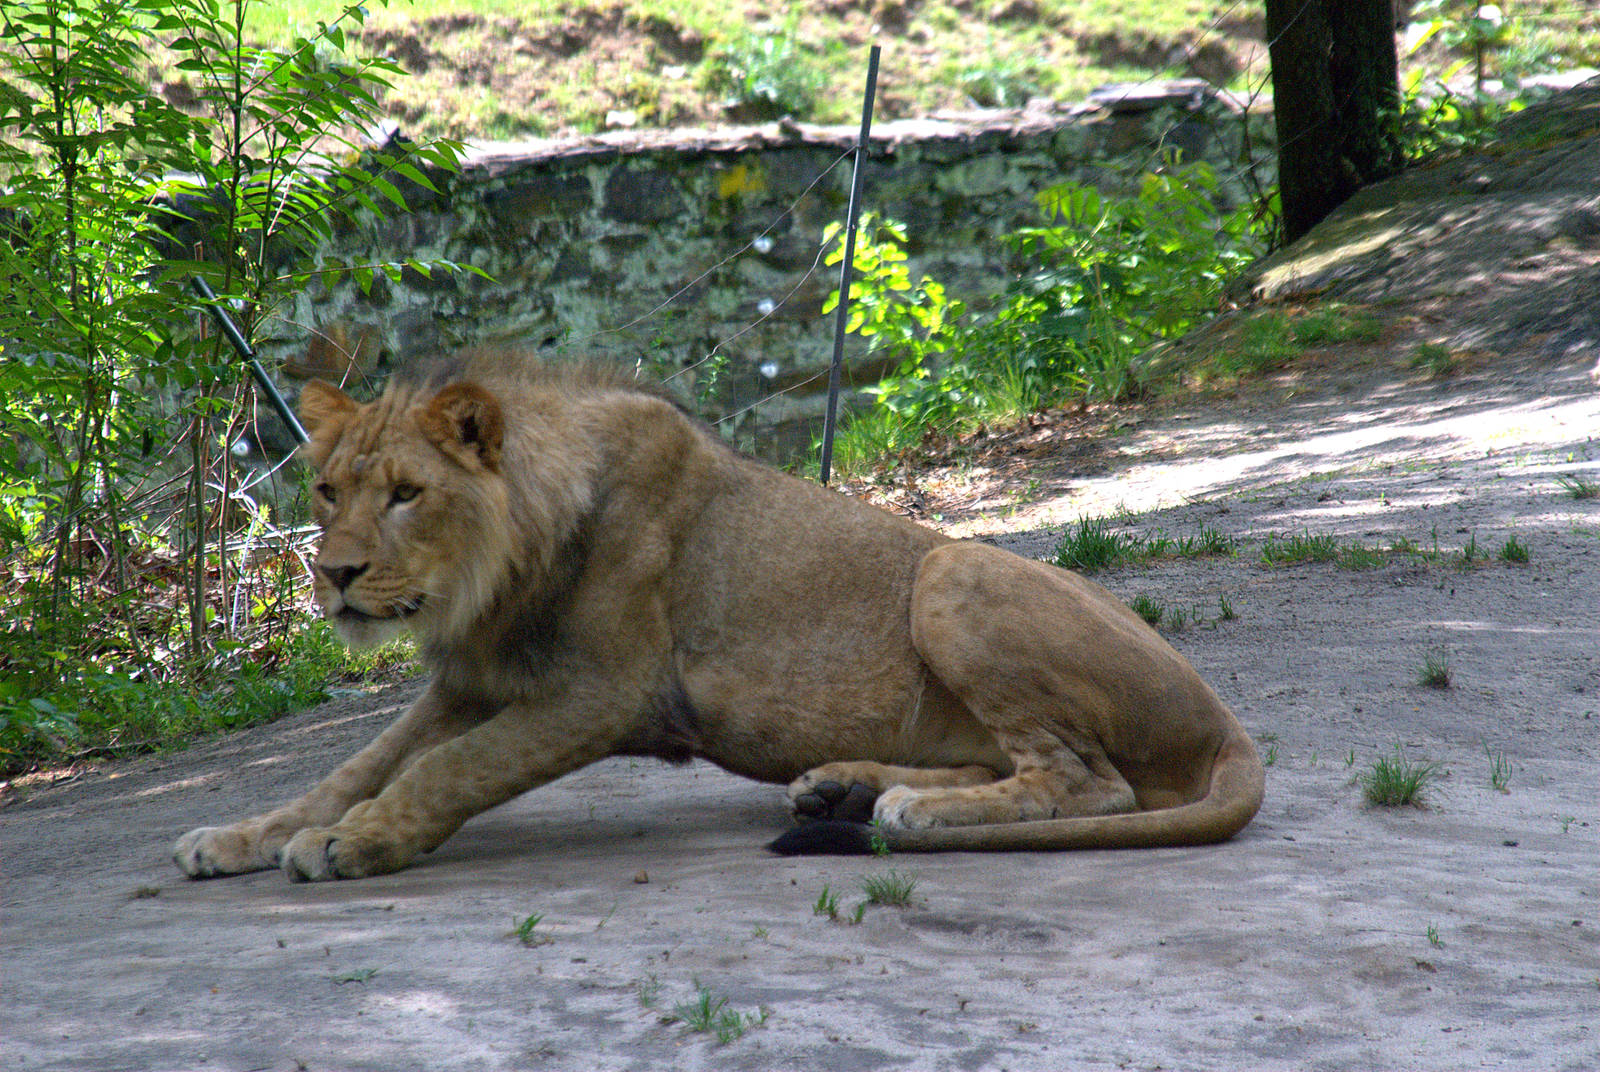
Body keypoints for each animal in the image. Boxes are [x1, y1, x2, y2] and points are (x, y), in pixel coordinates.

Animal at [173, 356, 1263, 882]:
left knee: (1091, 783)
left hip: (951, 567)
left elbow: (447, 771)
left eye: (405, 494)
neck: (499, 572)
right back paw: (842, 789)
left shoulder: (608, 694)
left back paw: (915, 811)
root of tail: (1229, 726)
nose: (335, 574)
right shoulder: (469, 683)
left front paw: (349, 844)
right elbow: (349, 770)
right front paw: (238, 837)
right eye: (327, 489)